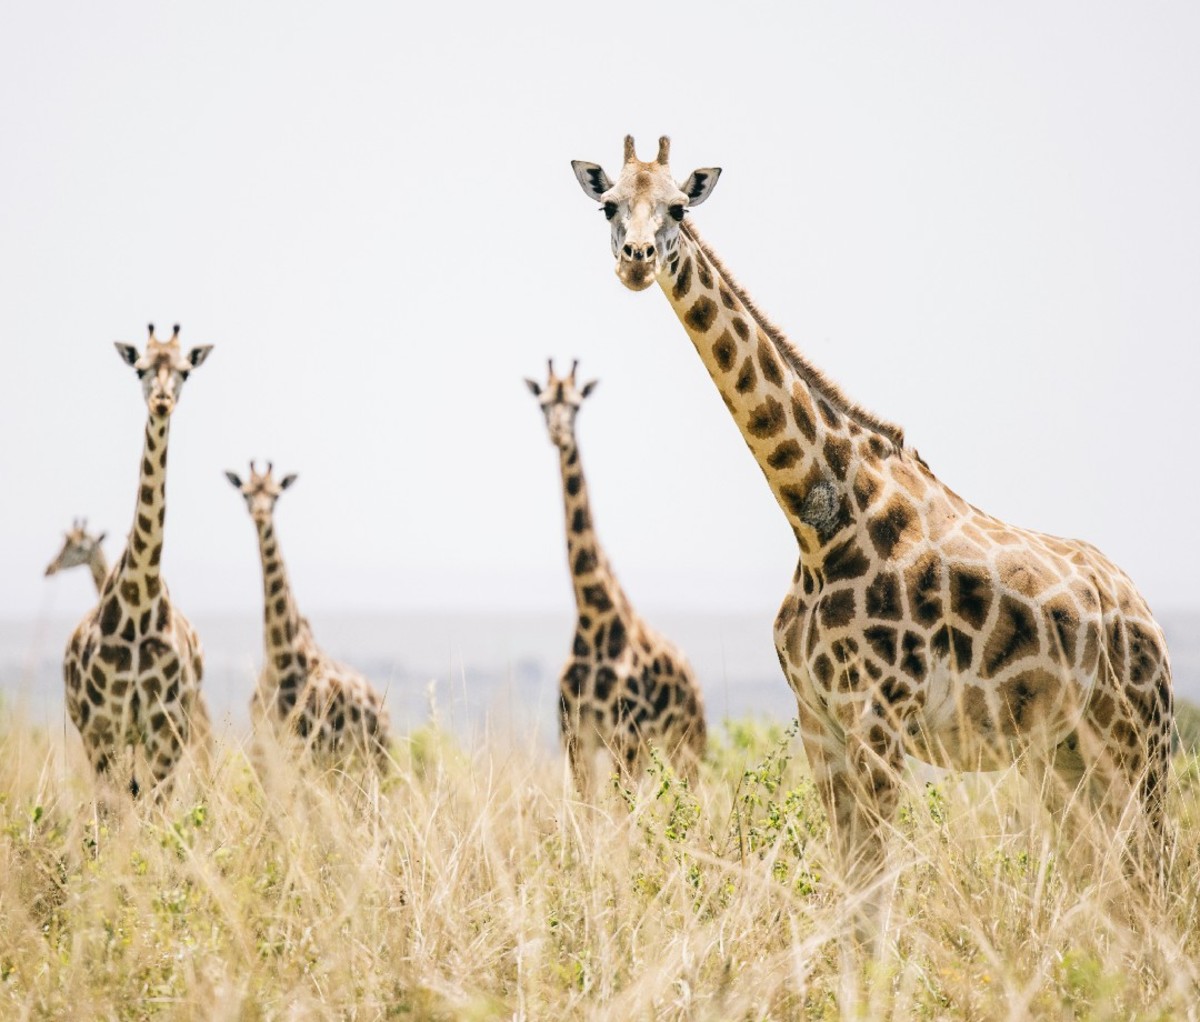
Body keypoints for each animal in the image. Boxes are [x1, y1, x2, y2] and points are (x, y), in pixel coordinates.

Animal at [61, 323, 213, 796]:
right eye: (139, 369)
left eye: (186, 370)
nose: (161, 400)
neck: (138, 600)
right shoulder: (103, 727)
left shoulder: (166, 731)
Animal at [225, 458, 393, 772]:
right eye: (246, 493)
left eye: (276, 495)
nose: (260, 514)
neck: (282, 658)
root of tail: (380, 703)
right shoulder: (266, 745)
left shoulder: (309, 743)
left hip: (373, 752)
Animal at [525, 359, 700, 791]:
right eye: (542, 403)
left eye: (576, 406)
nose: (558, 432)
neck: (593, 617)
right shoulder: (575, 737)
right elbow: (586, 806)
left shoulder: (627, 737)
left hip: (688, 740)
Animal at [571, 135, 1171, 902]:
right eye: (609, 205)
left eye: (678, 206)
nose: (637, 260)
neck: (815, 522)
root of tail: (1144, 612)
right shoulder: (819, 719)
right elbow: (852, 882)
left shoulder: (878, 717)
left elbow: (877, 891)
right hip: (1062, 755)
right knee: (1106, 874)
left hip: (1137, 741)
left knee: (1152, 870)